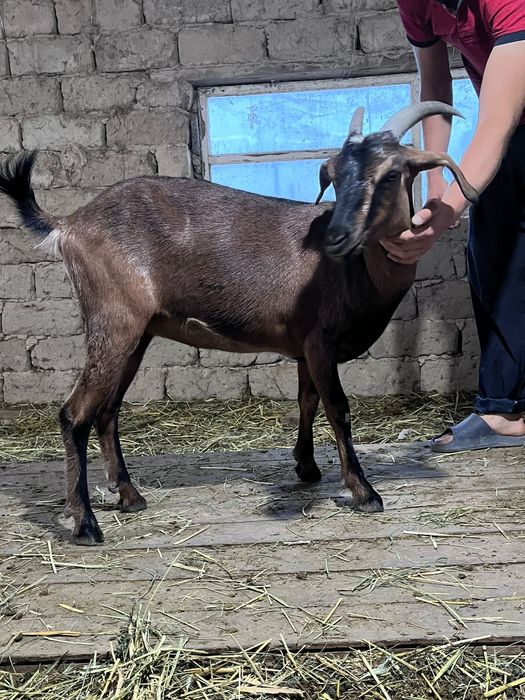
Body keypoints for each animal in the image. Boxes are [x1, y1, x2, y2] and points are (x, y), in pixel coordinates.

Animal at [0, 102, 477, 545]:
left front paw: (306, 467)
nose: (335, 237)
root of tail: (70, 224)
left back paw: (130, 496)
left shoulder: (304, 345)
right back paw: (85, 523)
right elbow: (338, 409)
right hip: (113, 321)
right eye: (335, 176)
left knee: (107, 411)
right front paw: (364, 492)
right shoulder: (321, 342)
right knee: (74, 413)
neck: (357, 271)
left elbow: (307, 401)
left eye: (392, 174)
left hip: (136, 334)